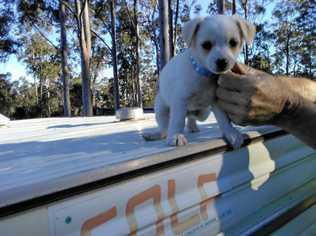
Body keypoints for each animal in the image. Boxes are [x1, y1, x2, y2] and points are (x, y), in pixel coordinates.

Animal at [144, 14, 256, 148]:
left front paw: (231, 134)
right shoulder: (180, 101)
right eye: (206, 45)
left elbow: (224, 120)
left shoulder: (217, 101)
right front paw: (176, 136)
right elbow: (177, 121)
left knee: (192, 117)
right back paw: (157, 135)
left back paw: (192, 126)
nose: (222, 62)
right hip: (161, 109)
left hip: (204, 113)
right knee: (165, 128)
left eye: (233, 43)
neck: (205, 75)